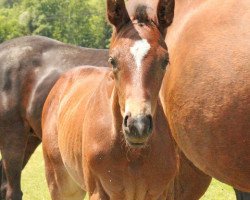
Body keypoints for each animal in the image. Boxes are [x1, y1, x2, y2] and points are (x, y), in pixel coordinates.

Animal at [42, 0, 180, 198]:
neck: (133, 155)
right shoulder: (99, 192)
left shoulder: (161, 193)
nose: (138, 126)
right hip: (61, 185)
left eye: (165, 61)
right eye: (113, 61)